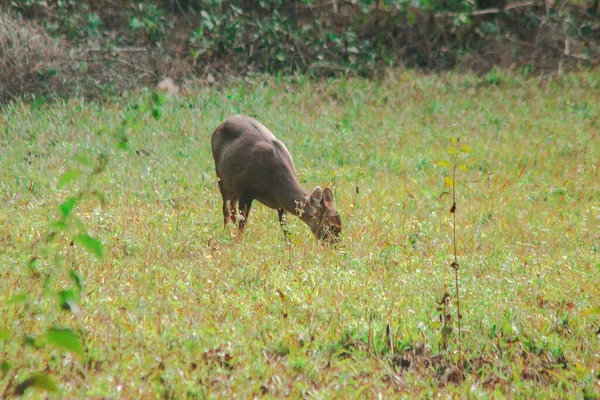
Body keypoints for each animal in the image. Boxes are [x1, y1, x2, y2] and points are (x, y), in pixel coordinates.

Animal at [211, 114, 342, 242]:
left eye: (340, 223)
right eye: (332, 226)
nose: (336, 244)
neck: (273, 186)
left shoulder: (280, 204)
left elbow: (285, 228)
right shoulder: (245, 190)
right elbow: (242, 223)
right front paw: (238, 241)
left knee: (231, 209)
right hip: (221, 176)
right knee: (226, 209)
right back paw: (226, 233)